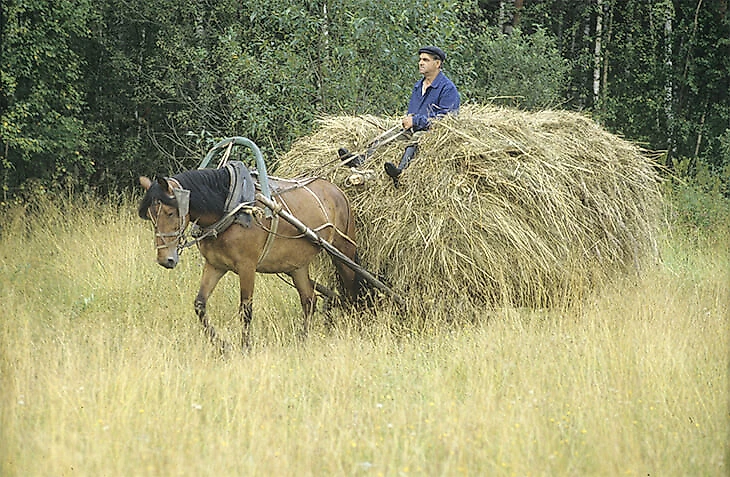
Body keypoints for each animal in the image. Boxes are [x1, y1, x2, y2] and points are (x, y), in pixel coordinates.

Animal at [138, 165, 360, 352]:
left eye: (170, 212)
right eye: (151, 215)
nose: (165, 259)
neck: (231, 210)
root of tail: (337, 191)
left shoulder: (247, 267)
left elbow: (246, 310)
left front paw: (245, 348)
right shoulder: (215, 265)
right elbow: (200, 305)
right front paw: (222, 345)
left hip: (343, 252)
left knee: (350, 290)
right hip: (297, 265)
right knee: (309, 300)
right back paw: (302, 340)